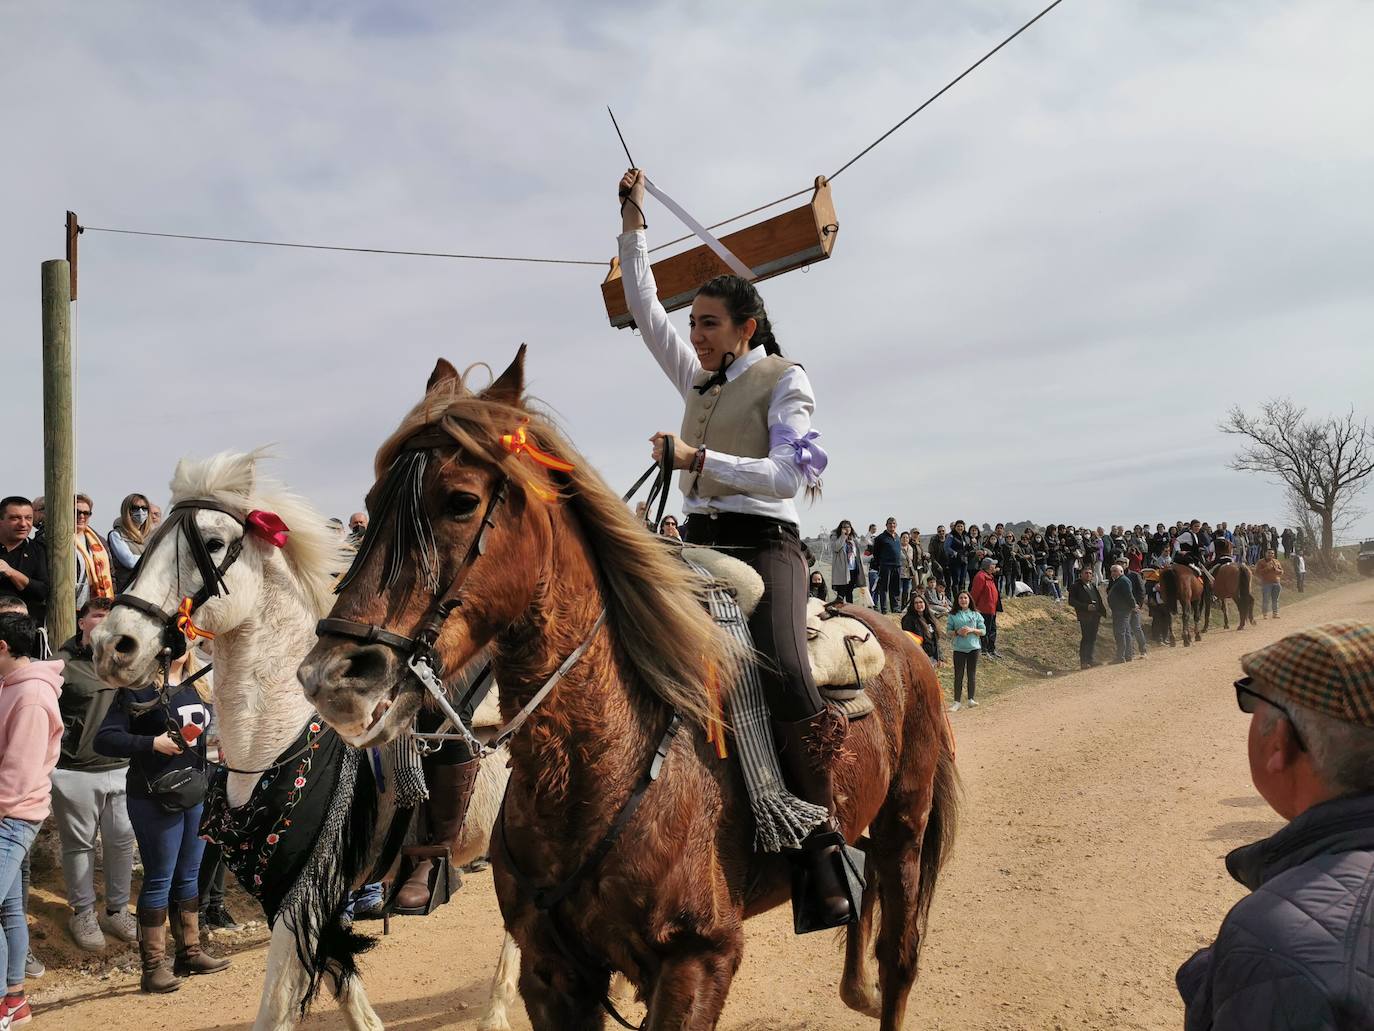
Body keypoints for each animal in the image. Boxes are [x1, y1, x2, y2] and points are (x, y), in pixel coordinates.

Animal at [91, 450, 519, 1031]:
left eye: (214, 543)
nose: (113, 644)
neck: (280, 737)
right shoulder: (296, 894)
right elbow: (342, 983)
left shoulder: (303, 893)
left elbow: (277, 1006)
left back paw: (497, 1008)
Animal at [295, 351, 961, 1028]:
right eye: (371, 503)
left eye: (460, 501)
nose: (331, 677)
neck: (596, 767)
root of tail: (904, 638)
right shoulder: (553, 970)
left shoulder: (697, 961)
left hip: (905, 828)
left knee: (899, 958)